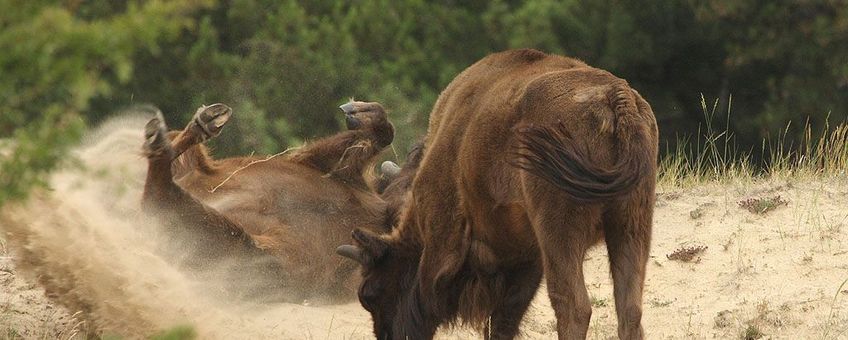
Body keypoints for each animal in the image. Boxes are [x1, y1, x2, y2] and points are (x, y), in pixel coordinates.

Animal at [141, 99, 400, 302]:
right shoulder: (330, 167)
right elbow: (380, 133)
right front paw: (359, 112)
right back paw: (201, 122)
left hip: (239, 249)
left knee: (160, 197)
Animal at [336, 49, 656, 338]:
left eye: (369, 294)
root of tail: (615, 97)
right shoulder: (524, 258)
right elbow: (503, 320)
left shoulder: (442, 234)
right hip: (631, 225)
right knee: (630, 310)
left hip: (562, 232)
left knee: (574, 307)